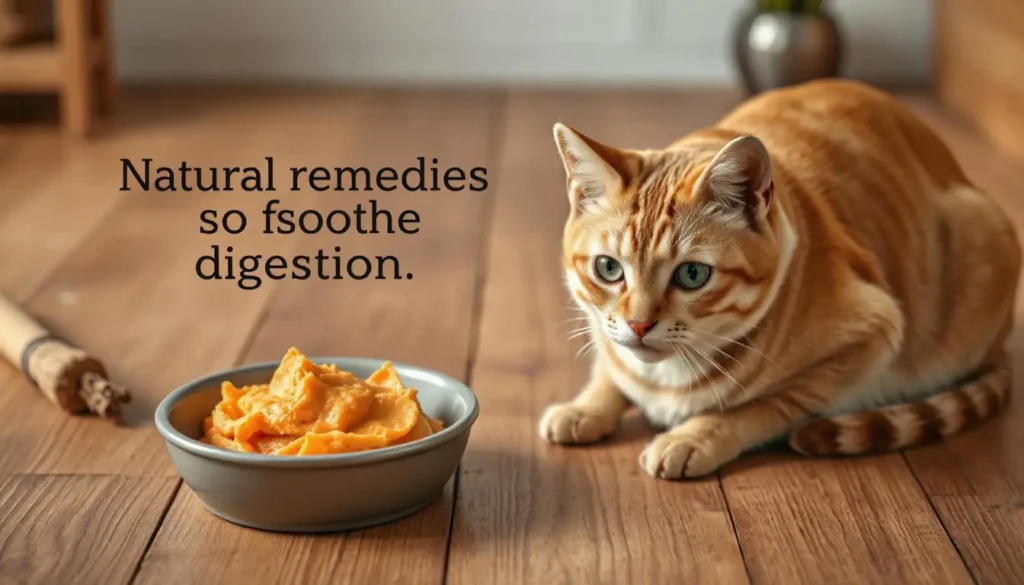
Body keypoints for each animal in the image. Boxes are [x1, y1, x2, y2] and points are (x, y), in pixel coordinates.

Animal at [540, 77, 1019, 481]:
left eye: (692, 274)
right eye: (608, 268)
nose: (639, 325)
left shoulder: (873, 332)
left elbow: (765, 405)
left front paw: (694, 436)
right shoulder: (605, 330)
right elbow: (609, 363)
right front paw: (586, 406)